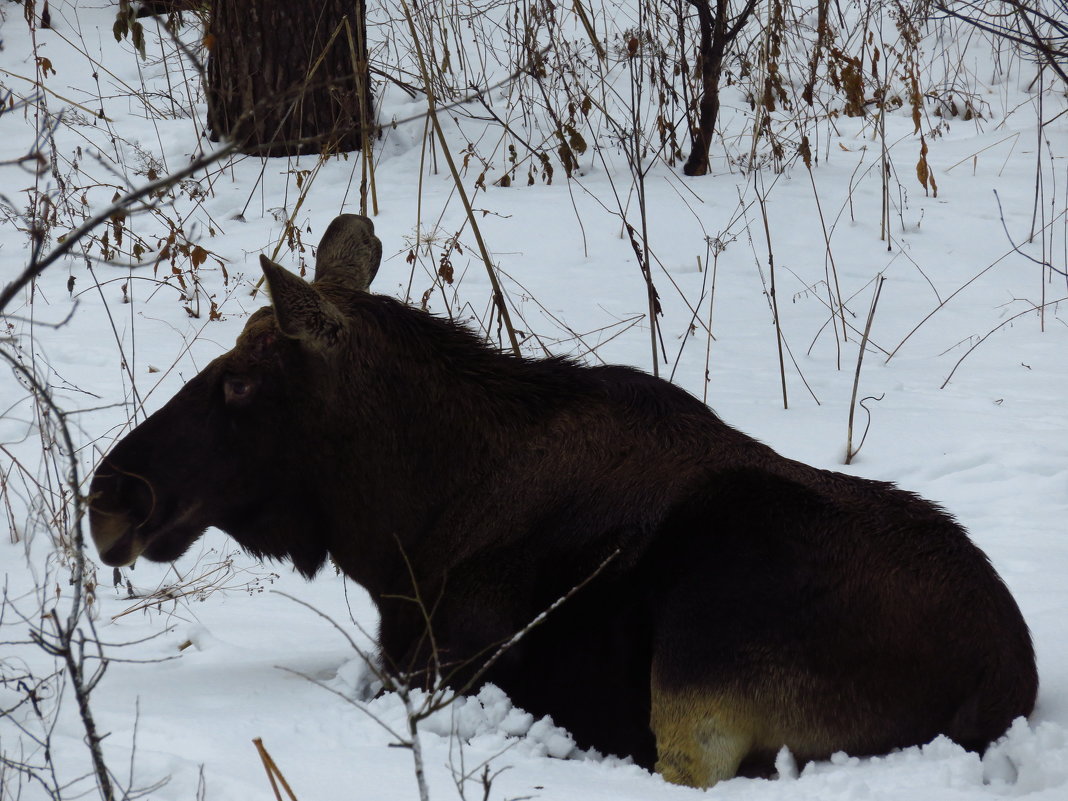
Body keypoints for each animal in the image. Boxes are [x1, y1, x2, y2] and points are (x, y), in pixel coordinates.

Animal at [91, 213, 1033, 790]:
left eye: (242, 382)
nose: (110, 495)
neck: (403, 530)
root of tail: (1003, 677)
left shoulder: (448, 667)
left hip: (699, 669)